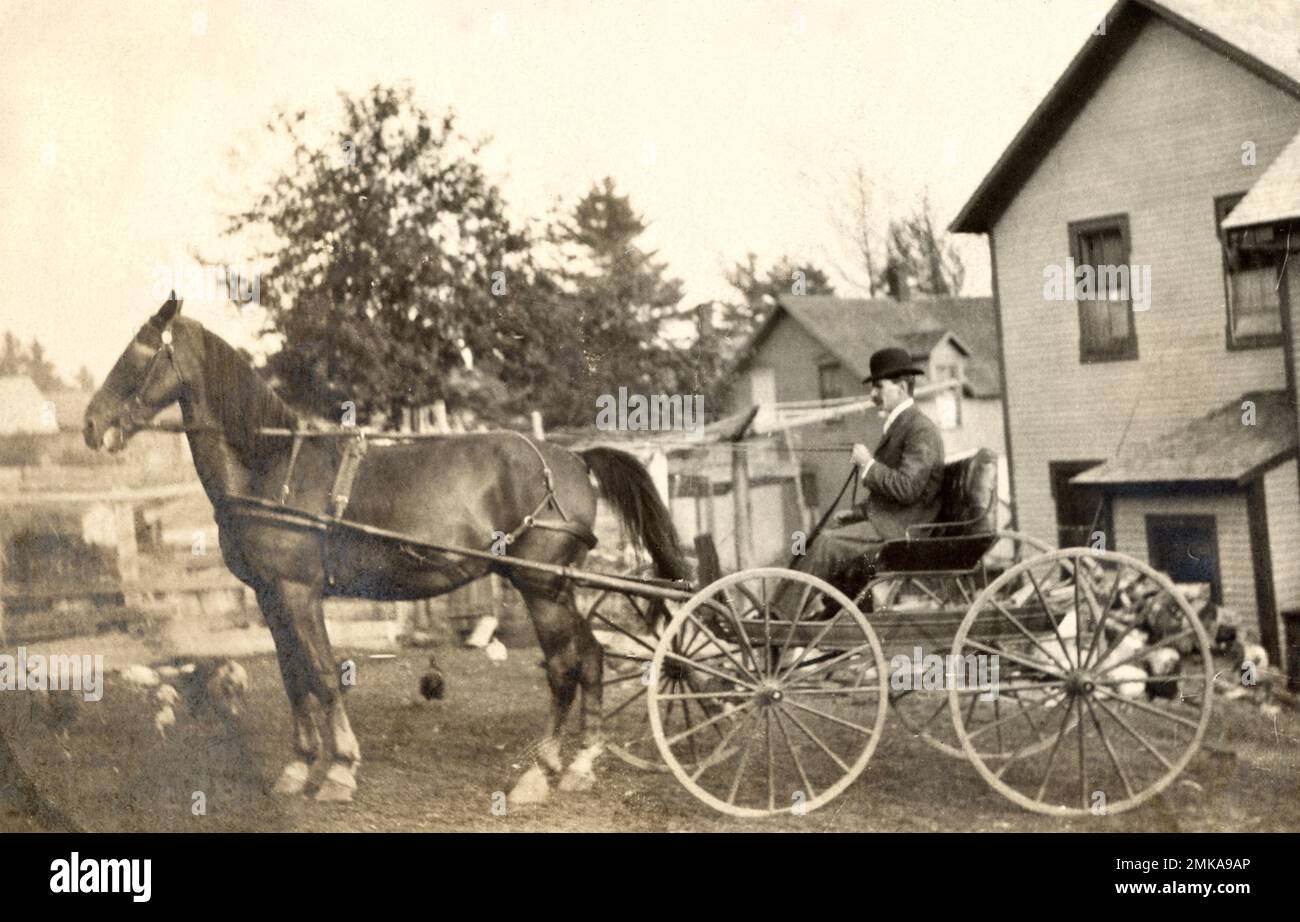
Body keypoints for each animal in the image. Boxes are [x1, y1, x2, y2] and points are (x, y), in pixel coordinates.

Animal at [81, 299, 691, 801]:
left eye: (138, 354)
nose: (91, 425)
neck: (270, 466)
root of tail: (574, 459)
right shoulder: (270, 597)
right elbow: (293, 677)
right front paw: (299, 766)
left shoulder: (299, 592)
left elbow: (323, 674)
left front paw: (340, 770)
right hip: (559, 589)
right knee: (594, 656)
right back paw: (583, 764)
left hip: (540, 586)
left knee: (565, 668)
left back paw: (539, 773)